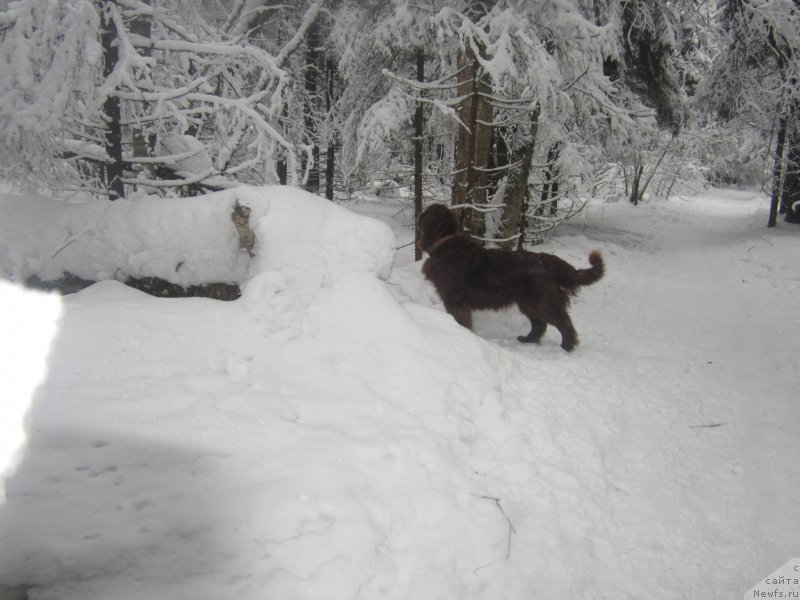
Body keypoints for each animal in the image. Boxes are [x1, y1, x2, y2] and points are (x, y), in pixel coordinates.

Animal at [422, 204, 604, 352]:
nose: (419, 215)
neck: (445, 243)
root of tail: (548, 260)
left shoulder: (454, 299)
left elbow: (460, 319)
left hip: (543, 301)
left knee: (563, 322)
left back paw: (567, 346)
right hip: (527, 302)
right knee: (539, 324)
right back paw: (528, 340)